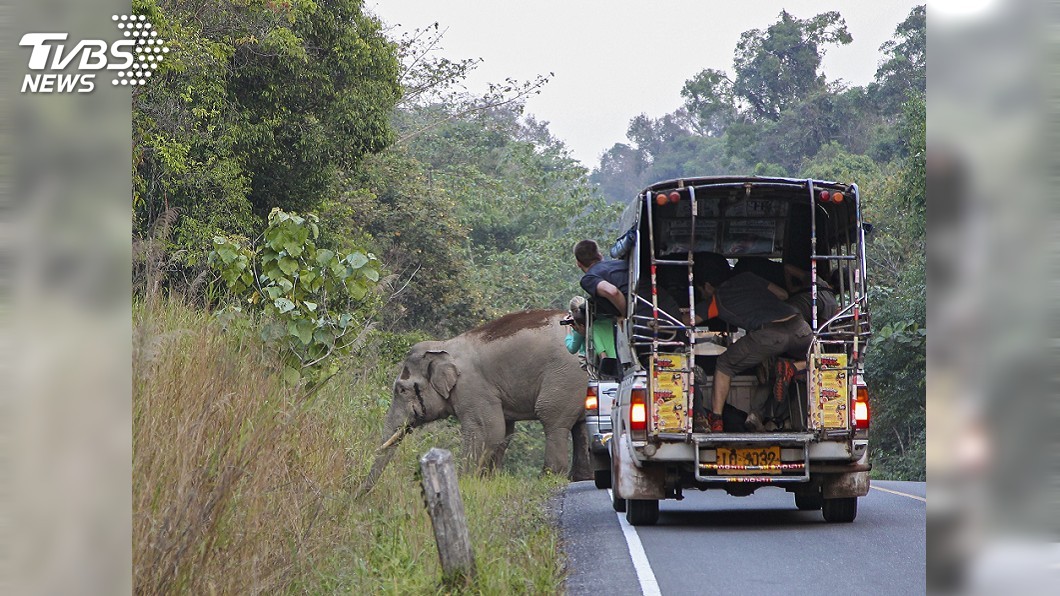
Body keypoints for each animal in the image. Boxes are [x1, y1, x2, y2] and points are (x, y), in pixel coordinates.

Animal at [359, 309, 592, 491]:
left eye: (402, 389)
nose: (360, 494)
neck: (443, 346)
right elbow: (503, 433)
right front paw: (488, 482)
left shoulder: (472, 386)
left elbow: (487, 431)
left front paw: (465, 482)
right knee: (581, 425)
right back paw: (579, 478)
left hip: (566, 376)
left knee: (552, 419)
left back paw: (548, 478)